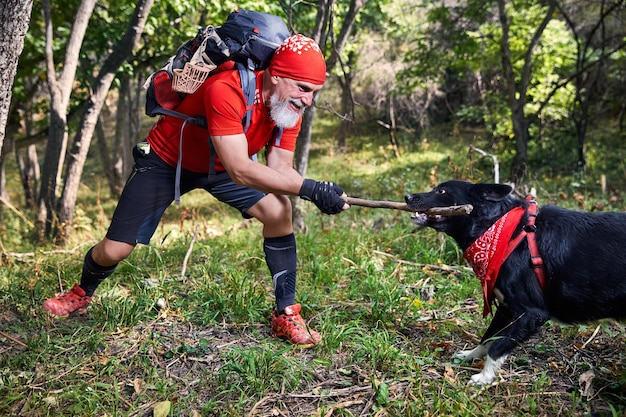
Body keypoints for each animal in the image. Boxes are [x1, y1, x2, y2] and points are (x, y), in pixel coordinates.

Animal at [402, 179, 624, 384]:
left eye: (442, 191)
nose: (407, 196)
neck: (498, 227)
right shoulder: (506, 308)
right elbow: (488, 337)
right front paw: (471, 355)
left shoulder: (531, 313)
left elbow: (498, 345)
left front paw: (484, 377)